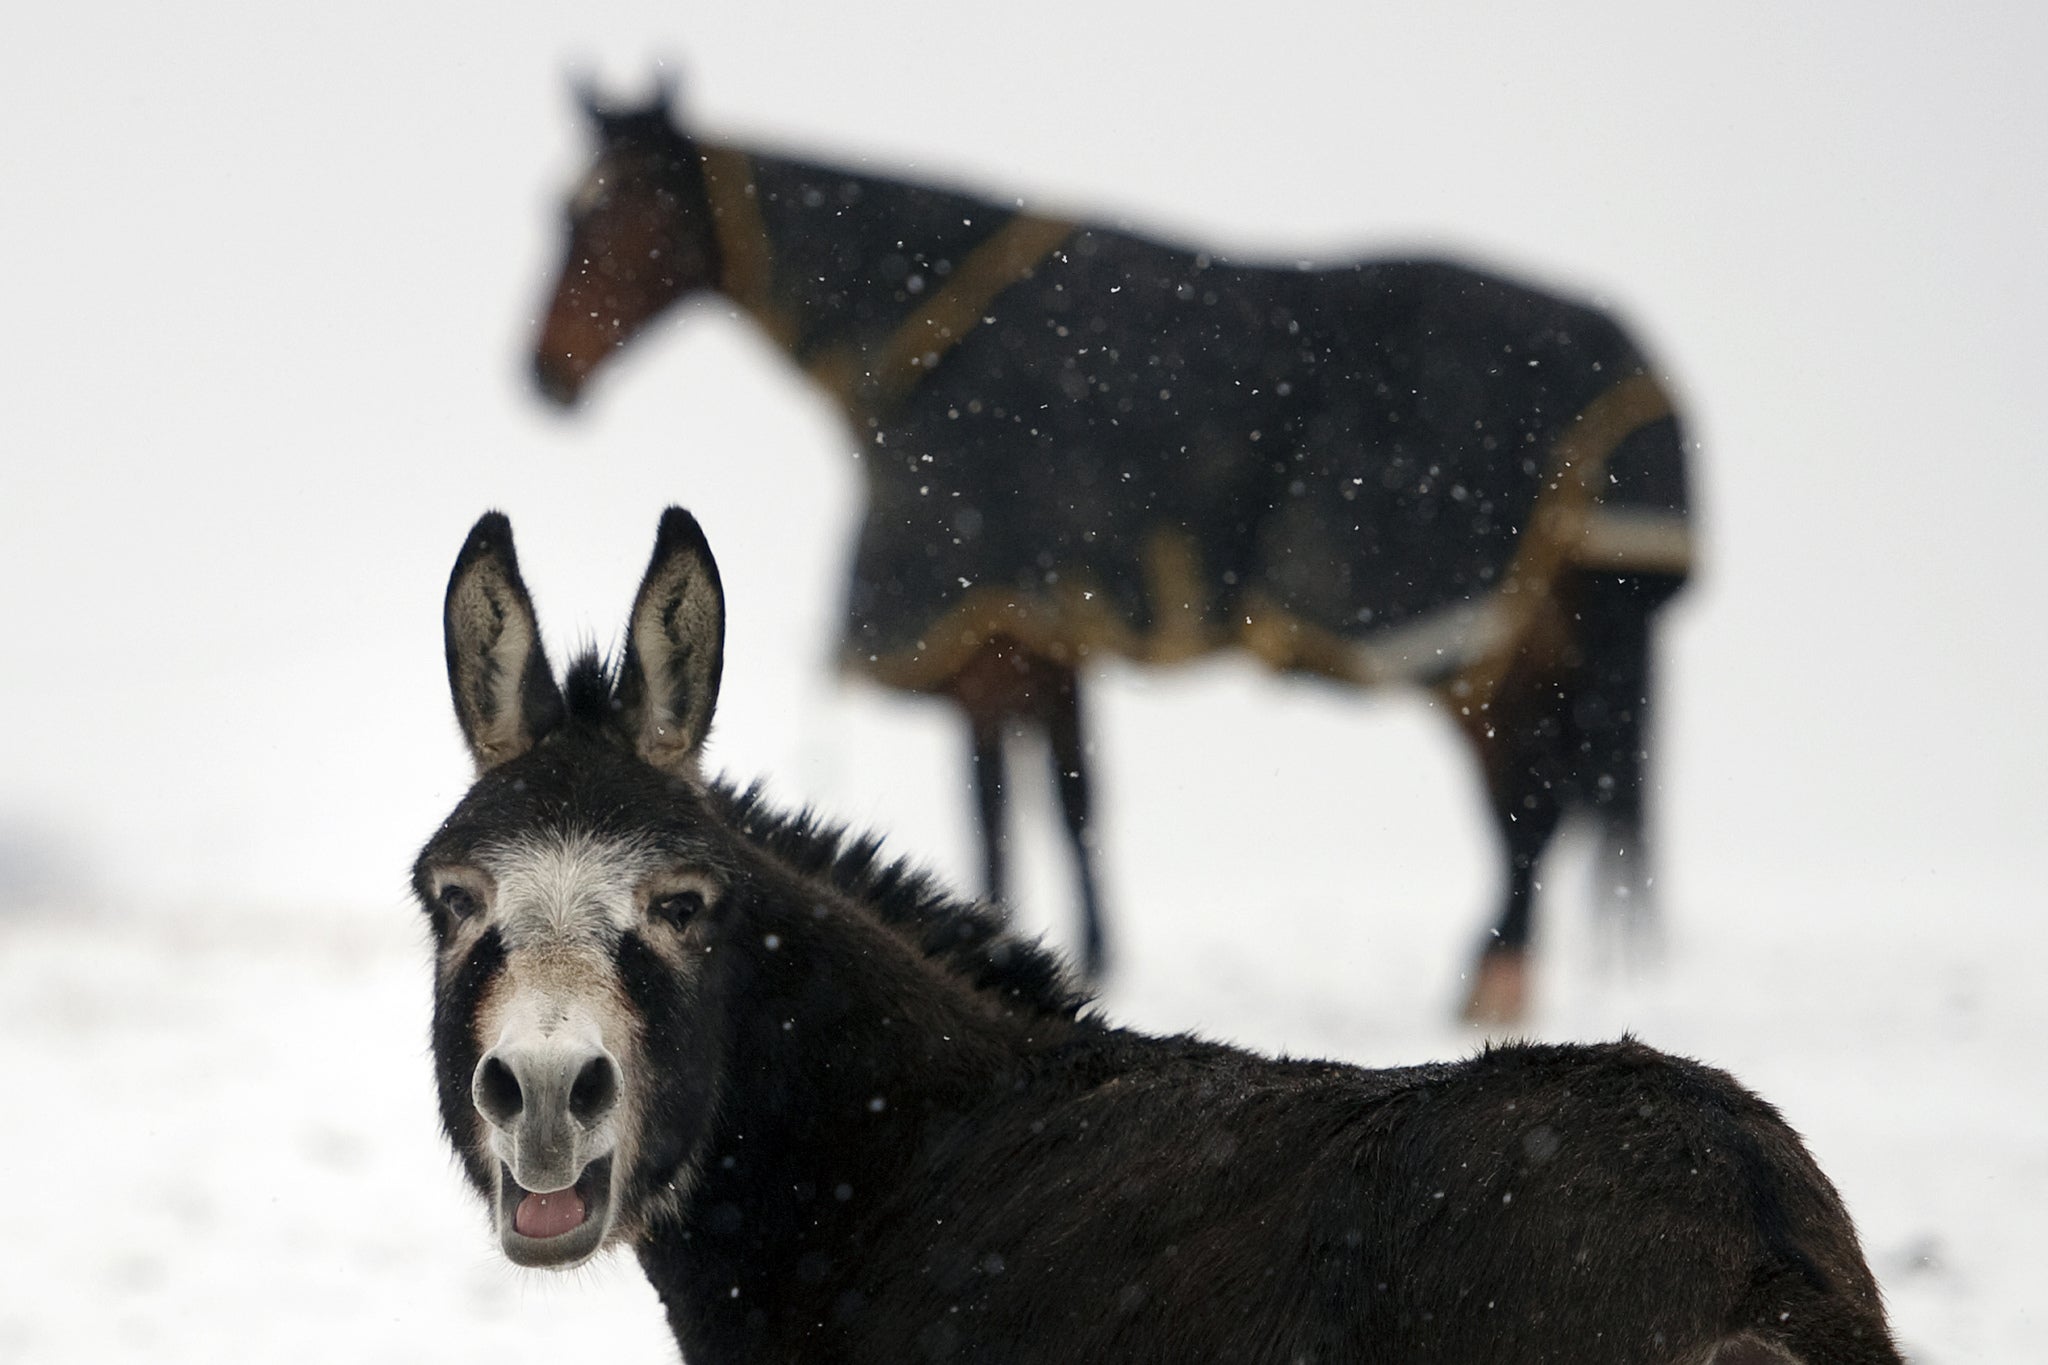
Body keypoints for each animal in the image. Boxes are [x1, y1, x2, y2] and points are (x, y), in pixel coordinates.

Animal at [528, 82, 1695, 1023]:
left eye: (620, 212)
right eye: (565, 208)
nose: (545, 370)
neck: (934, 335)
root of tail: (1632, 380)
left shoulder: (988, 635)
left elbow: (1006, 813)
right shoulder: (1038, 638)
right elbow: (1072, 797)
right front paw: (1080, 954)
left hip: (1471, 655)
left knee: (1529, 804)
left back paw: (1487, 987)